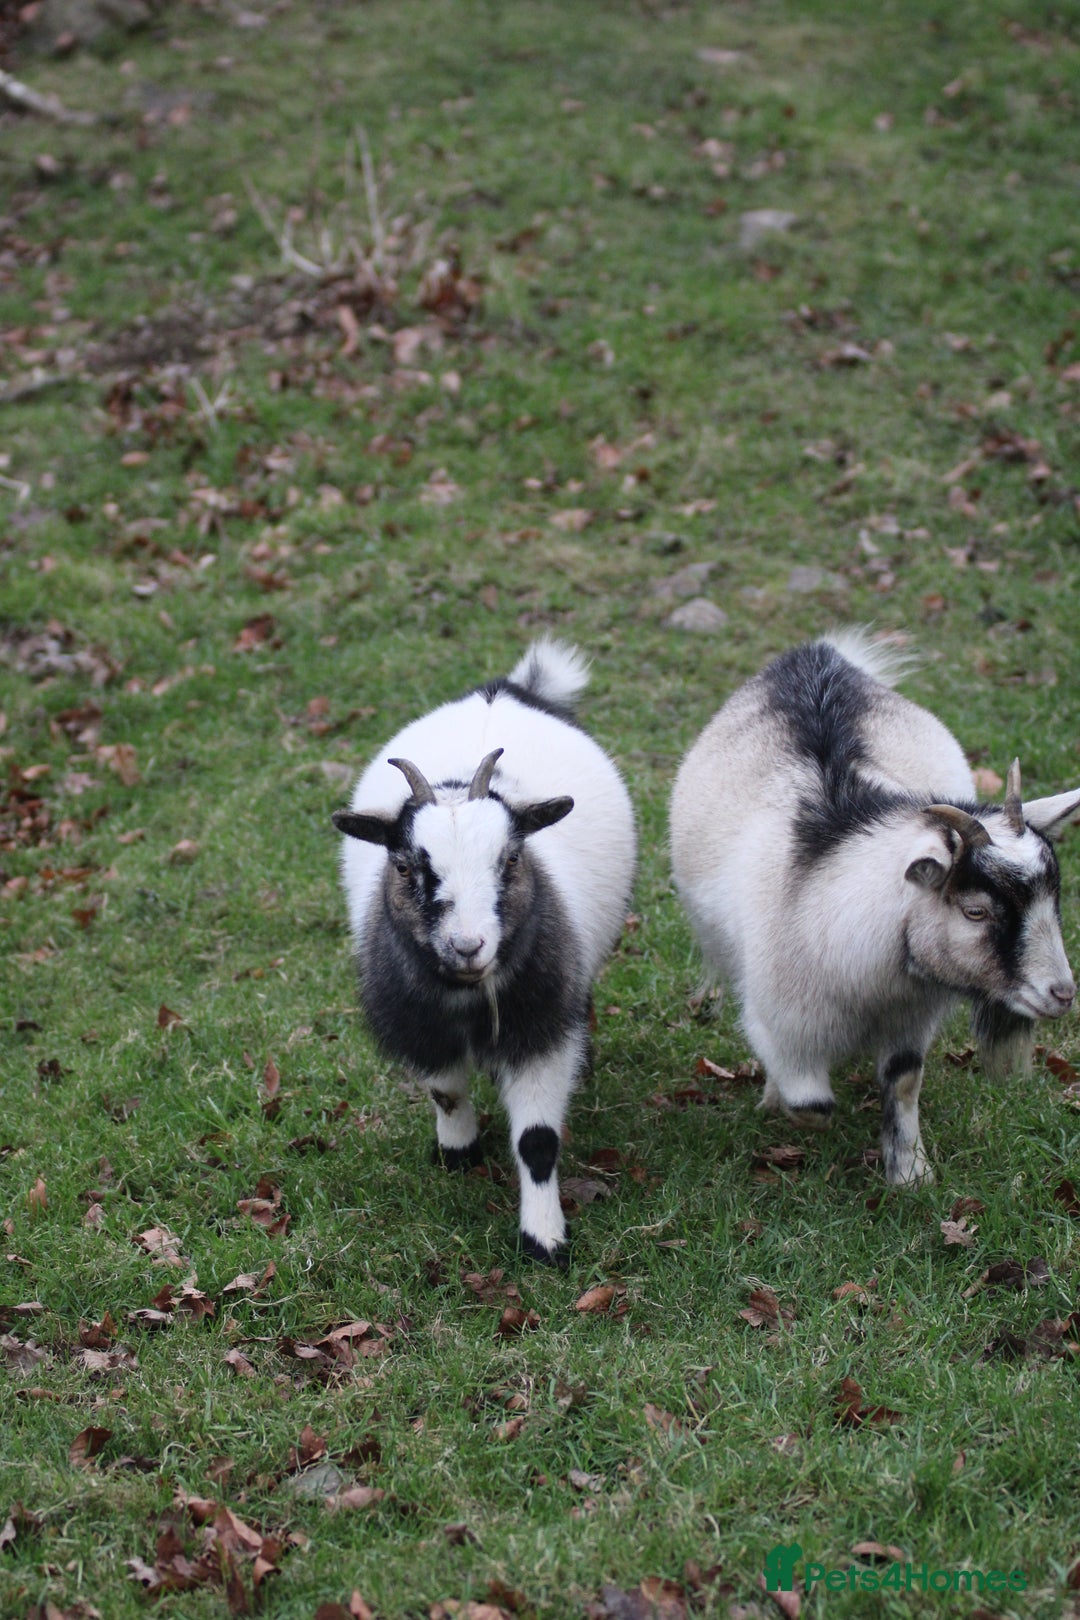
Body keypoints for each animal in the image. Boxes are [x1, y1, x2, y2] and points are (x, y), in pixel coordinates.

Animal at [332, 639, 636, 1265]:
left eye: (512, 860)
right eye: (405, 867)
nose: (468, 945)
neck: (470, 997)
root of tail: (505, 690)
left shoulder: (541, 1032)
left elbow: (538, 1141)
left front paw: (544, 1240)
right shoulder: (421, 1025)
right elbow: (446, 1094)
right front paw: (458, 1152)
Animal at [670, 631, 1080, 1185]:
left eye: (1053, 896)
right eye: (975, 911)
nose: (1062, 994)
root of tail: (820, 654)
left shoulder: (910, 1018)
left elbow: (903, 1082)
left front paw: (910, 1174)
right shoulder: (783, 1024)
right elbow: (813, 1108)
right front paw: (784, 1110)